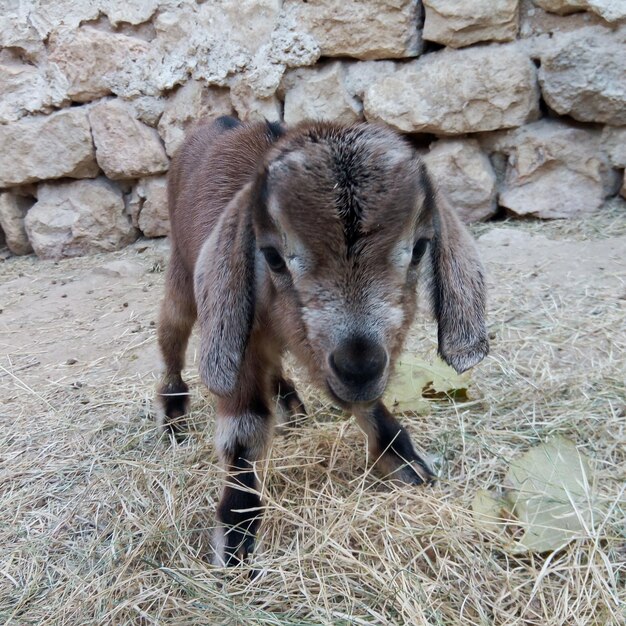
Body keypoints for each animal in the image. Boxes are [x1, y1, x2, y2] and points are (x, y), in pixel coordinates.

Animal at [156, 114, 488, 564]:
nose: (359, 365)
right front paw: (236, 534)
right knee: (171, 330)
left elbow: (369, 405)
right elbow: (244, 431)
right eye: (273, 256)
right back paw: (173, 411)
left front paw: (406, 462)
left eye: (420, 248)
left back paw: (290, 401)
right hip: (183, 274)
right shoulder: (239, 337)